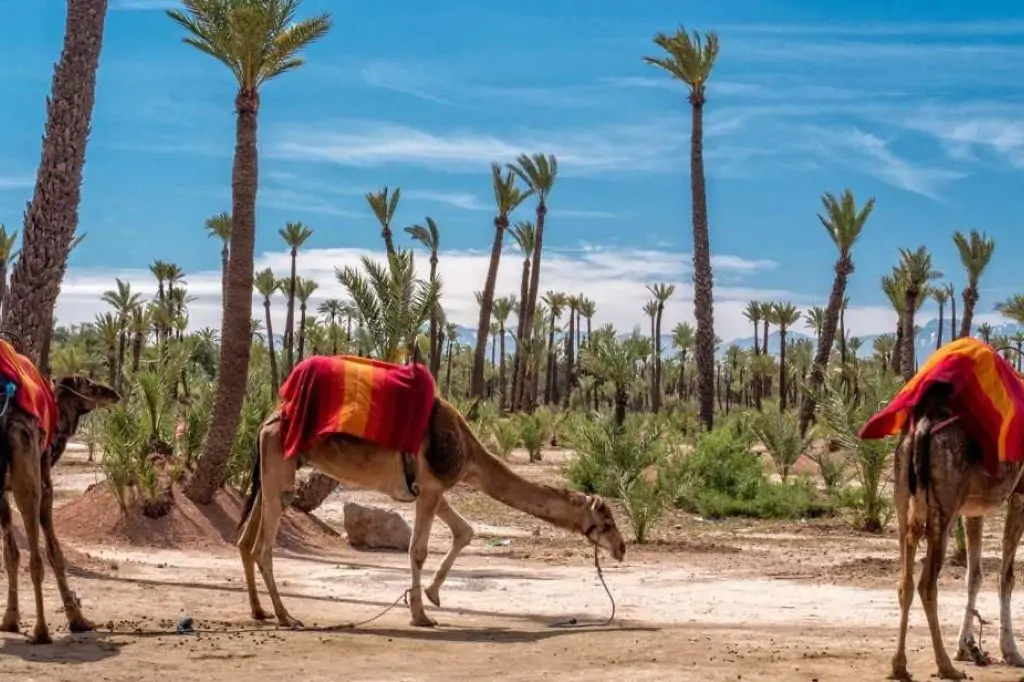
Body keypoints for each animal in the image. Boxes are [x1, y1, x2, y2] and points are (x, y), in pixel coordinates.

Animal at [0, 374, 119, 638]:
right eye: (89, 384)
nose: (114, 393)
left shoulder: (1, 495)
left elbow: (11, 554)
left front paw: (10, 621)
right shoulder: (46, 488)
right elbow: (54, 553)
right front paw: (78, 619)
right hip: (28, 479)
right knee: (36, 558)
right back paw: (41, 631)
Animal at [237, 399, 622, 626]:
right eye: (606, 521)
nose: (621, 548)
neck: (469, 453)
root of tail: (265, 422)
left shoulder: (432, 490)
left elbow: (464, 531)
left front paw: (432, 596)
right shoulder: (432, 487)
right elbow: (418, 550)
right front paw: (420, 614)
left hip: (271, 474)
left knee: (244, 541)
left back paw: (259, 611)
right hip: (280, 471)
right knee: (262, 547)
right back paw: (286, 616)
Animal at [888, 378, 1024, 675]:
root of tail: (923, 425)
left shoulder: (972, 510)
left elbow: (974, 576)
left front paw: (965, 646)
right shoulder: (1021, 495)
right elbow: (1006, 577)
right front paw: (1010, 651)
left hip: (903, 499)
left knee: (905, 581)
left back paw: (899, 666)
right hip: (945, 508)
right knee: (927, 584)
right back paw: (946, 667)